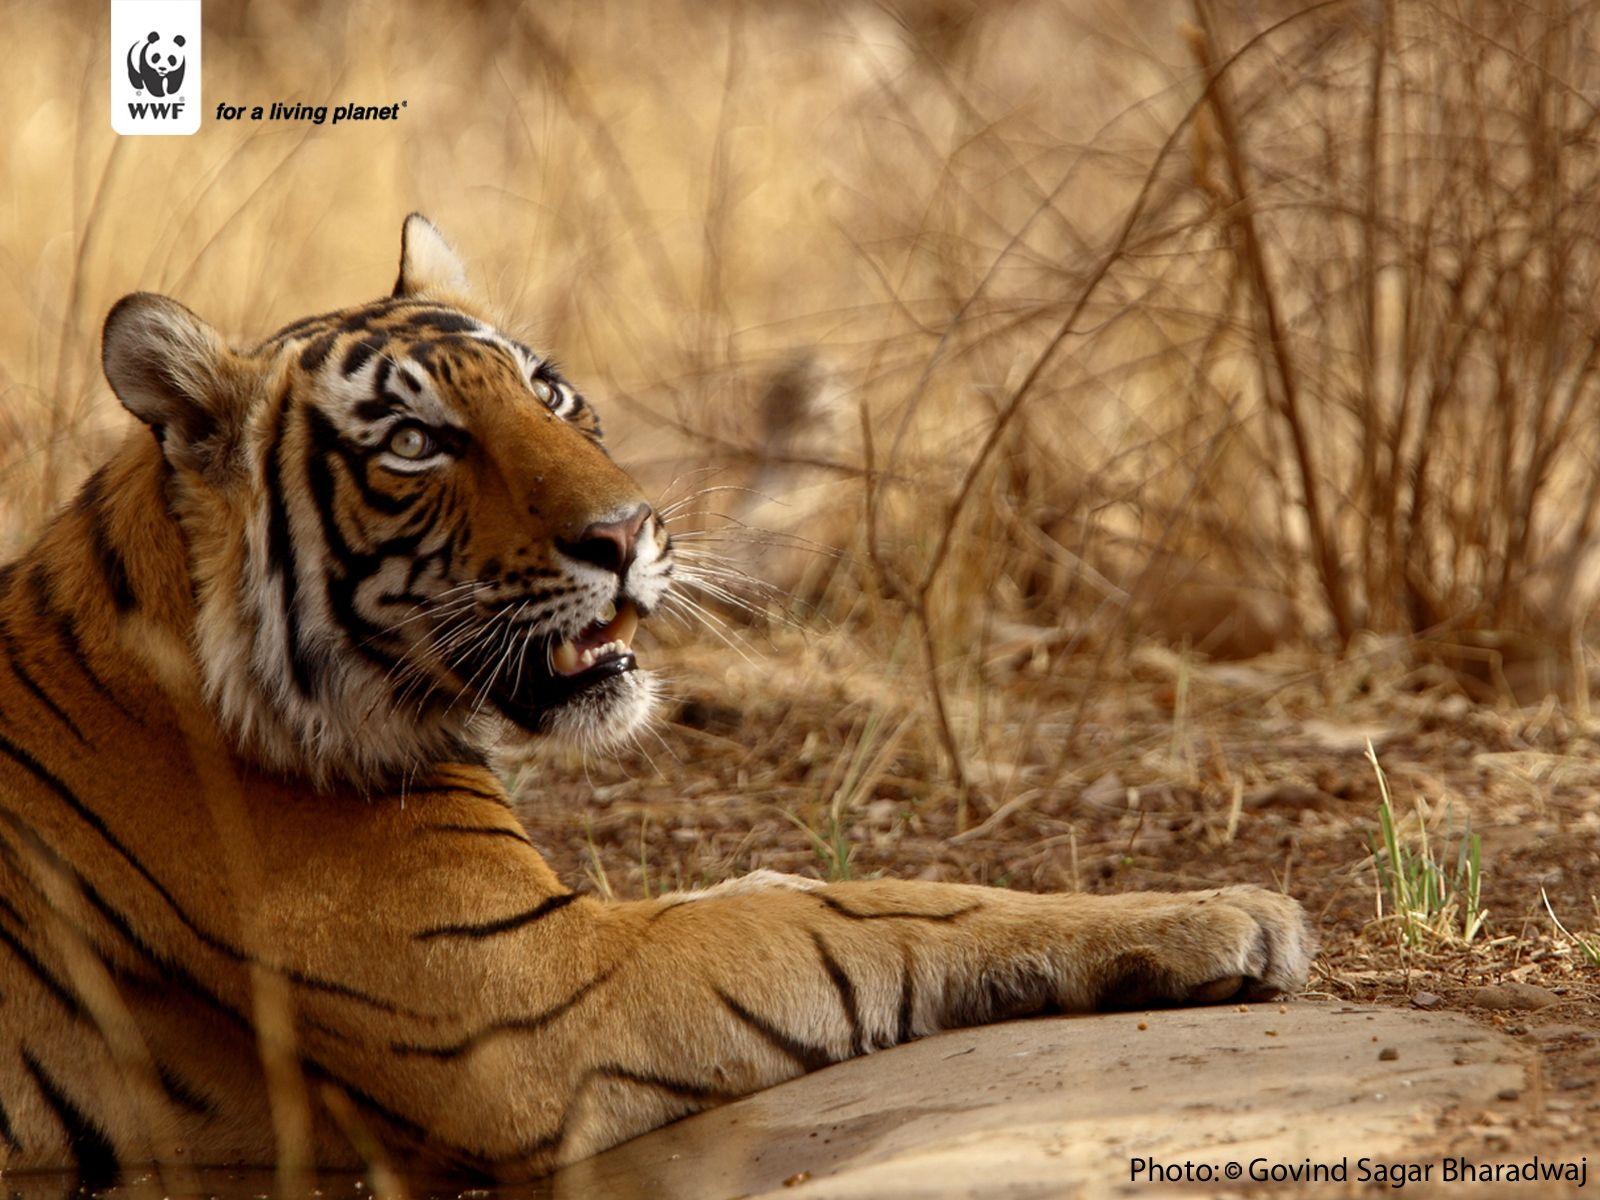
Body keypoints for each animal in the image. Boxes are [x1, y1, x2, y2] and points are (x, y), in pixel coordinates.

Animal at [0, 214, 1315, 1186]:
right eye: (416, 441)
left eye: (549, 393)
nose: (629, 531)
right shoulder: (535, 1003)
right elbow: (871, 912)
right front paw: (1229, 914)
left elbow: (780, 887)